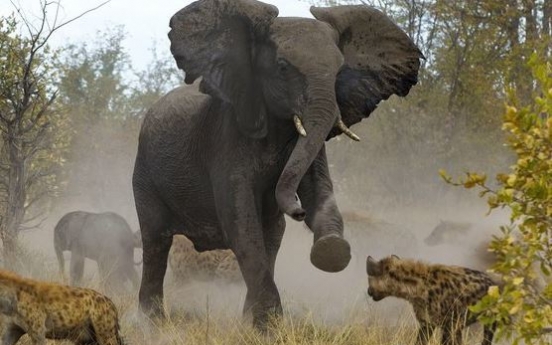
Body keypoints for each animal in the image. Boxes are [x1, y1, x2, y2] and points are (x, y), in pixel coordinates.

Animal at [134, 0, 422, 328]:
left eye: (339, 72)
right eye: (283, 67)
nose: (298, 211)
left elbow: (318, 192)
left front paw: (331, 250)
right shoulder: (225, 139)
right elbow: (240, 223)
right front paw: (268, 328)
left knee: (272, 237)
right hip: (144, 173)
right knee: (156, 242)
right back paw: (152, 324)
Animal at [366, 254, 500, 344]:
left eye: (369, 281)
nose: (368, 291)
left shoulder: (452, 324)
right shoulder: (427, 322)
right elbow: (420, 341)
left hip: (491, 318)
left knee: (487, 339)